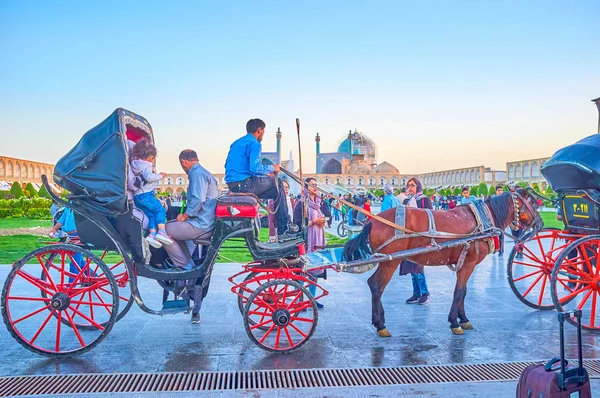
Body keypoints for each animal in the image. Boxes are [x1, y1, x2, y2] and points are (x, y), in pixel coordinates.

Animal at [342, 190, 544, 336]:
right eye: (533, 204)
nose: (540, 224)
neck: (483, 220)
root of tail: (373, 222)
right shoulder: (469, 262)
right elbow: (459, 292)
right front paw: (455, 322)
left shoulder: (466, 263)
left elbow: (464, 291)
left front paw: (464, 319)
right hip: (390, 261)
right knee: (376, 285)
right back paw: (380, 325)